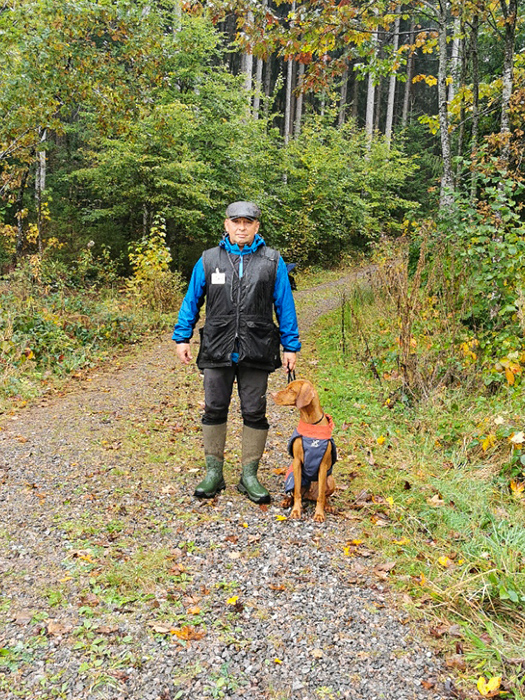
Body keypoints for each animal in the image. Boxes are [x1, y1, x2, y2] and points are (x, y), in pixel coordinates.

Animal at [270, 380, 336, 524]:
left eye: (291, 390)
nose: (272, 394)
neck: (311, 422)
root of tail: (310, 495)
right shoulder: (297, 462)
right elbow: (297, 494)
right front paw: (296, 511)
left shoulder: (323, 466)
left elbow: (321, 496)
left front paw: (319, 514)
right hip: (293, 478)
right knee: (294, 493)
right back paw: (287, 501)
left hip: (331, 480)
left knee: (324, 496)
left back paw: (328, 506)